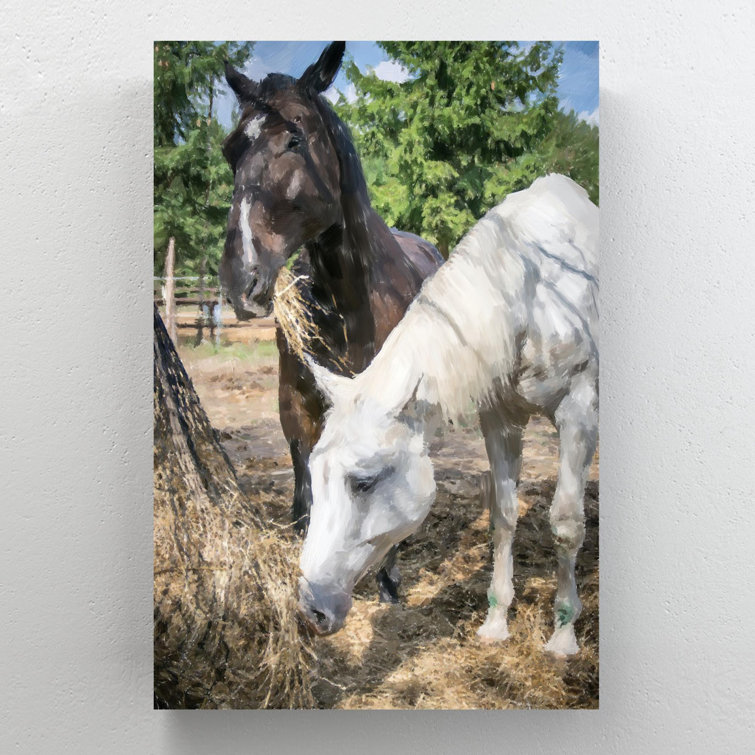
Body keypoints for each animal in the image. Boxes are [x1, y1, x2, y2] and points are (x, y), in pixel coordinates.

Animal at [219, 42, 443, 603]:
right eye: (231, 149)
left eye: (294, 139)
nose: (239, 279)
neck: (352, 301)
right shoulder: (296, 402)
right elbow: (305, 494)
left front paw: (388, 579)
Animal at [299, 174, 599, 656]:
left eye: (363, 482)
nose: (310, 609)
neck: (533, 297)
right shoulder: (499, 420)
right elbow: (504, 515)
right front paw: (495, 622)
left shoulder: (578, 414)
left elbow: (567, 523)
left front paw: (563, 635)